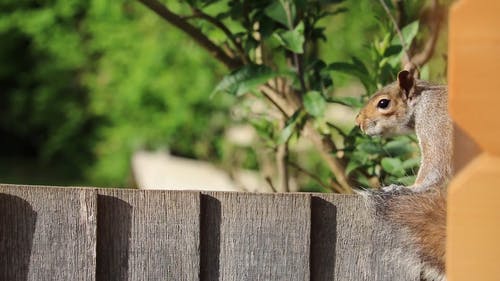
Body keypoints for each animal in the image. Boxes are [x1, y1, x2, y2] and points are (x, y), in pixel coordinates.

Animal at [354, 69, 452, 280]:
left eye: (383, 103)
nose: (358, 122)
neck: (422, 100)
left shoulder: (434, 122)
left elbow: (434, 167)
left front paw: (404, 189)